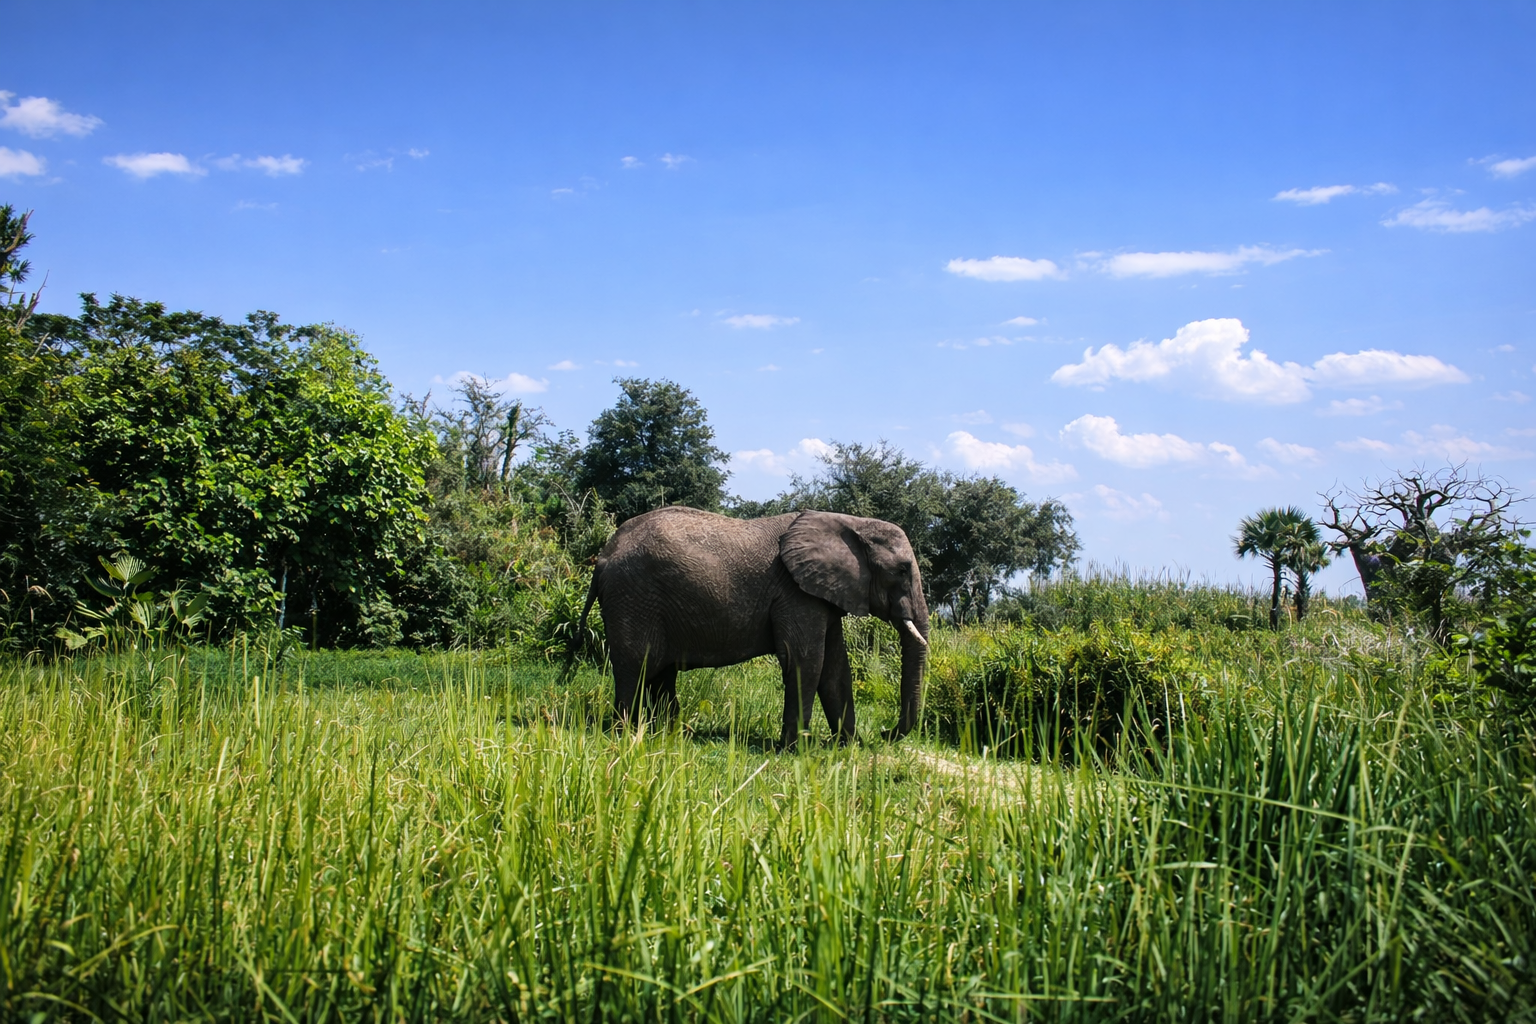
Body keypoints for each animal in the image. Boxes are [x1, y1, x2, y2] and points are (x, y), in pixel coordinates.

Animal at [575, 506, 929, 748]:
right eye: (901, 570)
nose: (884, 733)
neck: (850, 522)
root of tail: (603, 557)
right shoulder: (795, 593)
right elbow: (805, 662)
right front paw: (795, 750)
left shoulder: (820, 594)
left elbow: (835, 668)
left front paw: (846, 747)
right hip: (633, 598)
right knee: (635, 667)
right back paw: (626, 735)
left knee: (661, 674)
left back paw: (669, 733)